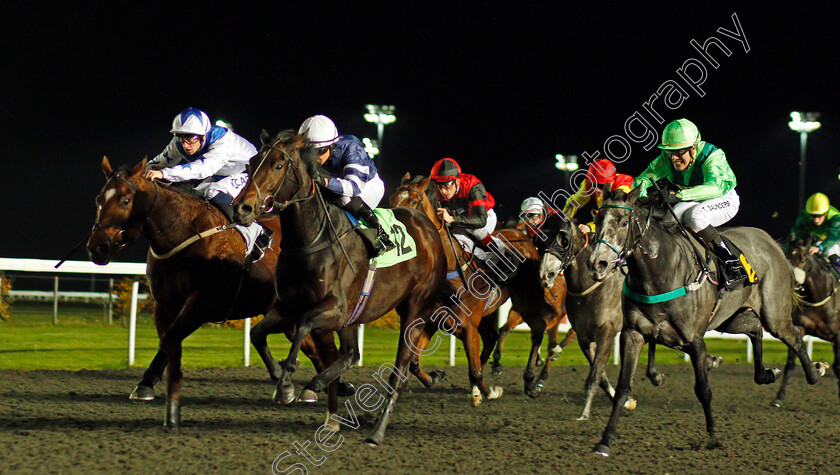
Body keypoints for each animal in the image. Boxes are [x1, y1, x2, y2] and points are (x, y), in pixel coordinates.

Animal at [86, 157, 334, 432]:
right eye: (99, 199)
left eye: (125, 201)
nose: (97, 247)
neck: (182, 233)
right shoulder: (165, 305)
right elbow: (167, 341)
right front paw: (148, 384)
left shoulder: (203, 304)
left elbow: (170, 338)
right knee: (310, 347)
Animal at [231, 130, 452, 446]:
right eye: (251, 164)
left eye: (278, 166)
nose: (242, 208)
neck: (310, 240)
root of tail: (428, 226)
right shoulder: (289, 306)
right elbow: (259, 333)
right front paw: (284, 378)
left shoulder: (332, 309)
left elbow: (303, 325)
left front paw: (287, 383)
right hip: (354, 317)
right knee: (351, 354)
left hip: (414, 309)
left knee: (397, 373)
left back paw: (377, 431)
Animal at [390, 173, 568, 396]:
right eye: (392, 201)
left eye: (414, 202)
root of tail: (527, 239)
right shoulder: (433, 321)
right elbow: (414, 361)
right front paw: (434, 376)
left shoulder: (466, 324)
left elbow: (473, 369)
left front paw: (489, 391)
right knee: (493, 336)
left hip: (525, 304)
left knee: (537, 331)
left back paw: (530, 381)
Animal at [776, 236, 840, 408]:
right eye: (788, 256)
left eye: (804, 259)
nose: (791, 282)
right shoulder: (801, 327)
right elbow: (791, 364)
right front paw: (778, 398)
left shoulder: (838, 336)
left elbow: (838, 367)